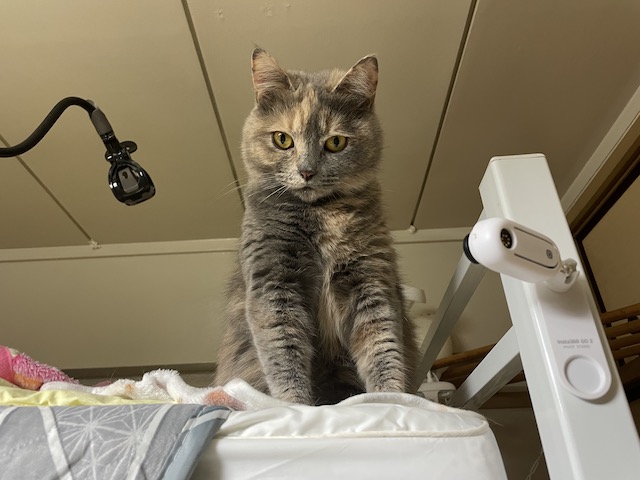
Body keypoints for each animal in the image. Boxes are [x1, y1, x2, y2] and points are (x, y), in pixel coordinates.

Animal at [214, 49, 418, 405]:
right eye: (282, 139)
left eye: (335, 142)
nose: (306, 171)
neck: (322, 215)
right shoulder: (274, 286)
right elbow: (284, 356)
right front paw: (297, 406)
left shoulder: (372, 281)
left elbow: (383, 348)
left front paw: (391, 402)